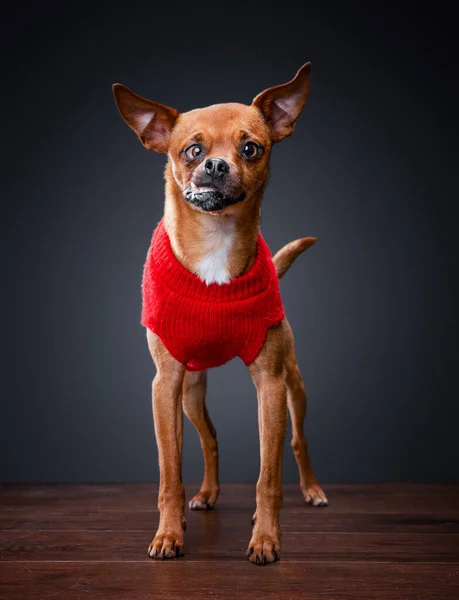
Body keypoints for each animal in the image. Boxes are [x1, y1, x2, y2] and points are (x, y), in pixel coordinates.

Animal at [111, 63, 328, 564]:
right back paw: (207, 495)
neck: (215, 243)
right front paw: (169, 534)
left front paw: (266, 538)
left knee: (298, 440)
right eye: (193, 150)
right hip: (189, 393)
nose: (215, 165)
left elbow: (268, 477)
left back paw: (311, 490)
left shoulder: (270, 385)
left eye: (251, 148)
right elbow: (169, 473)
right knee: (208, 438)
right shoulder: (165, 385)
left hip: (294, 386)